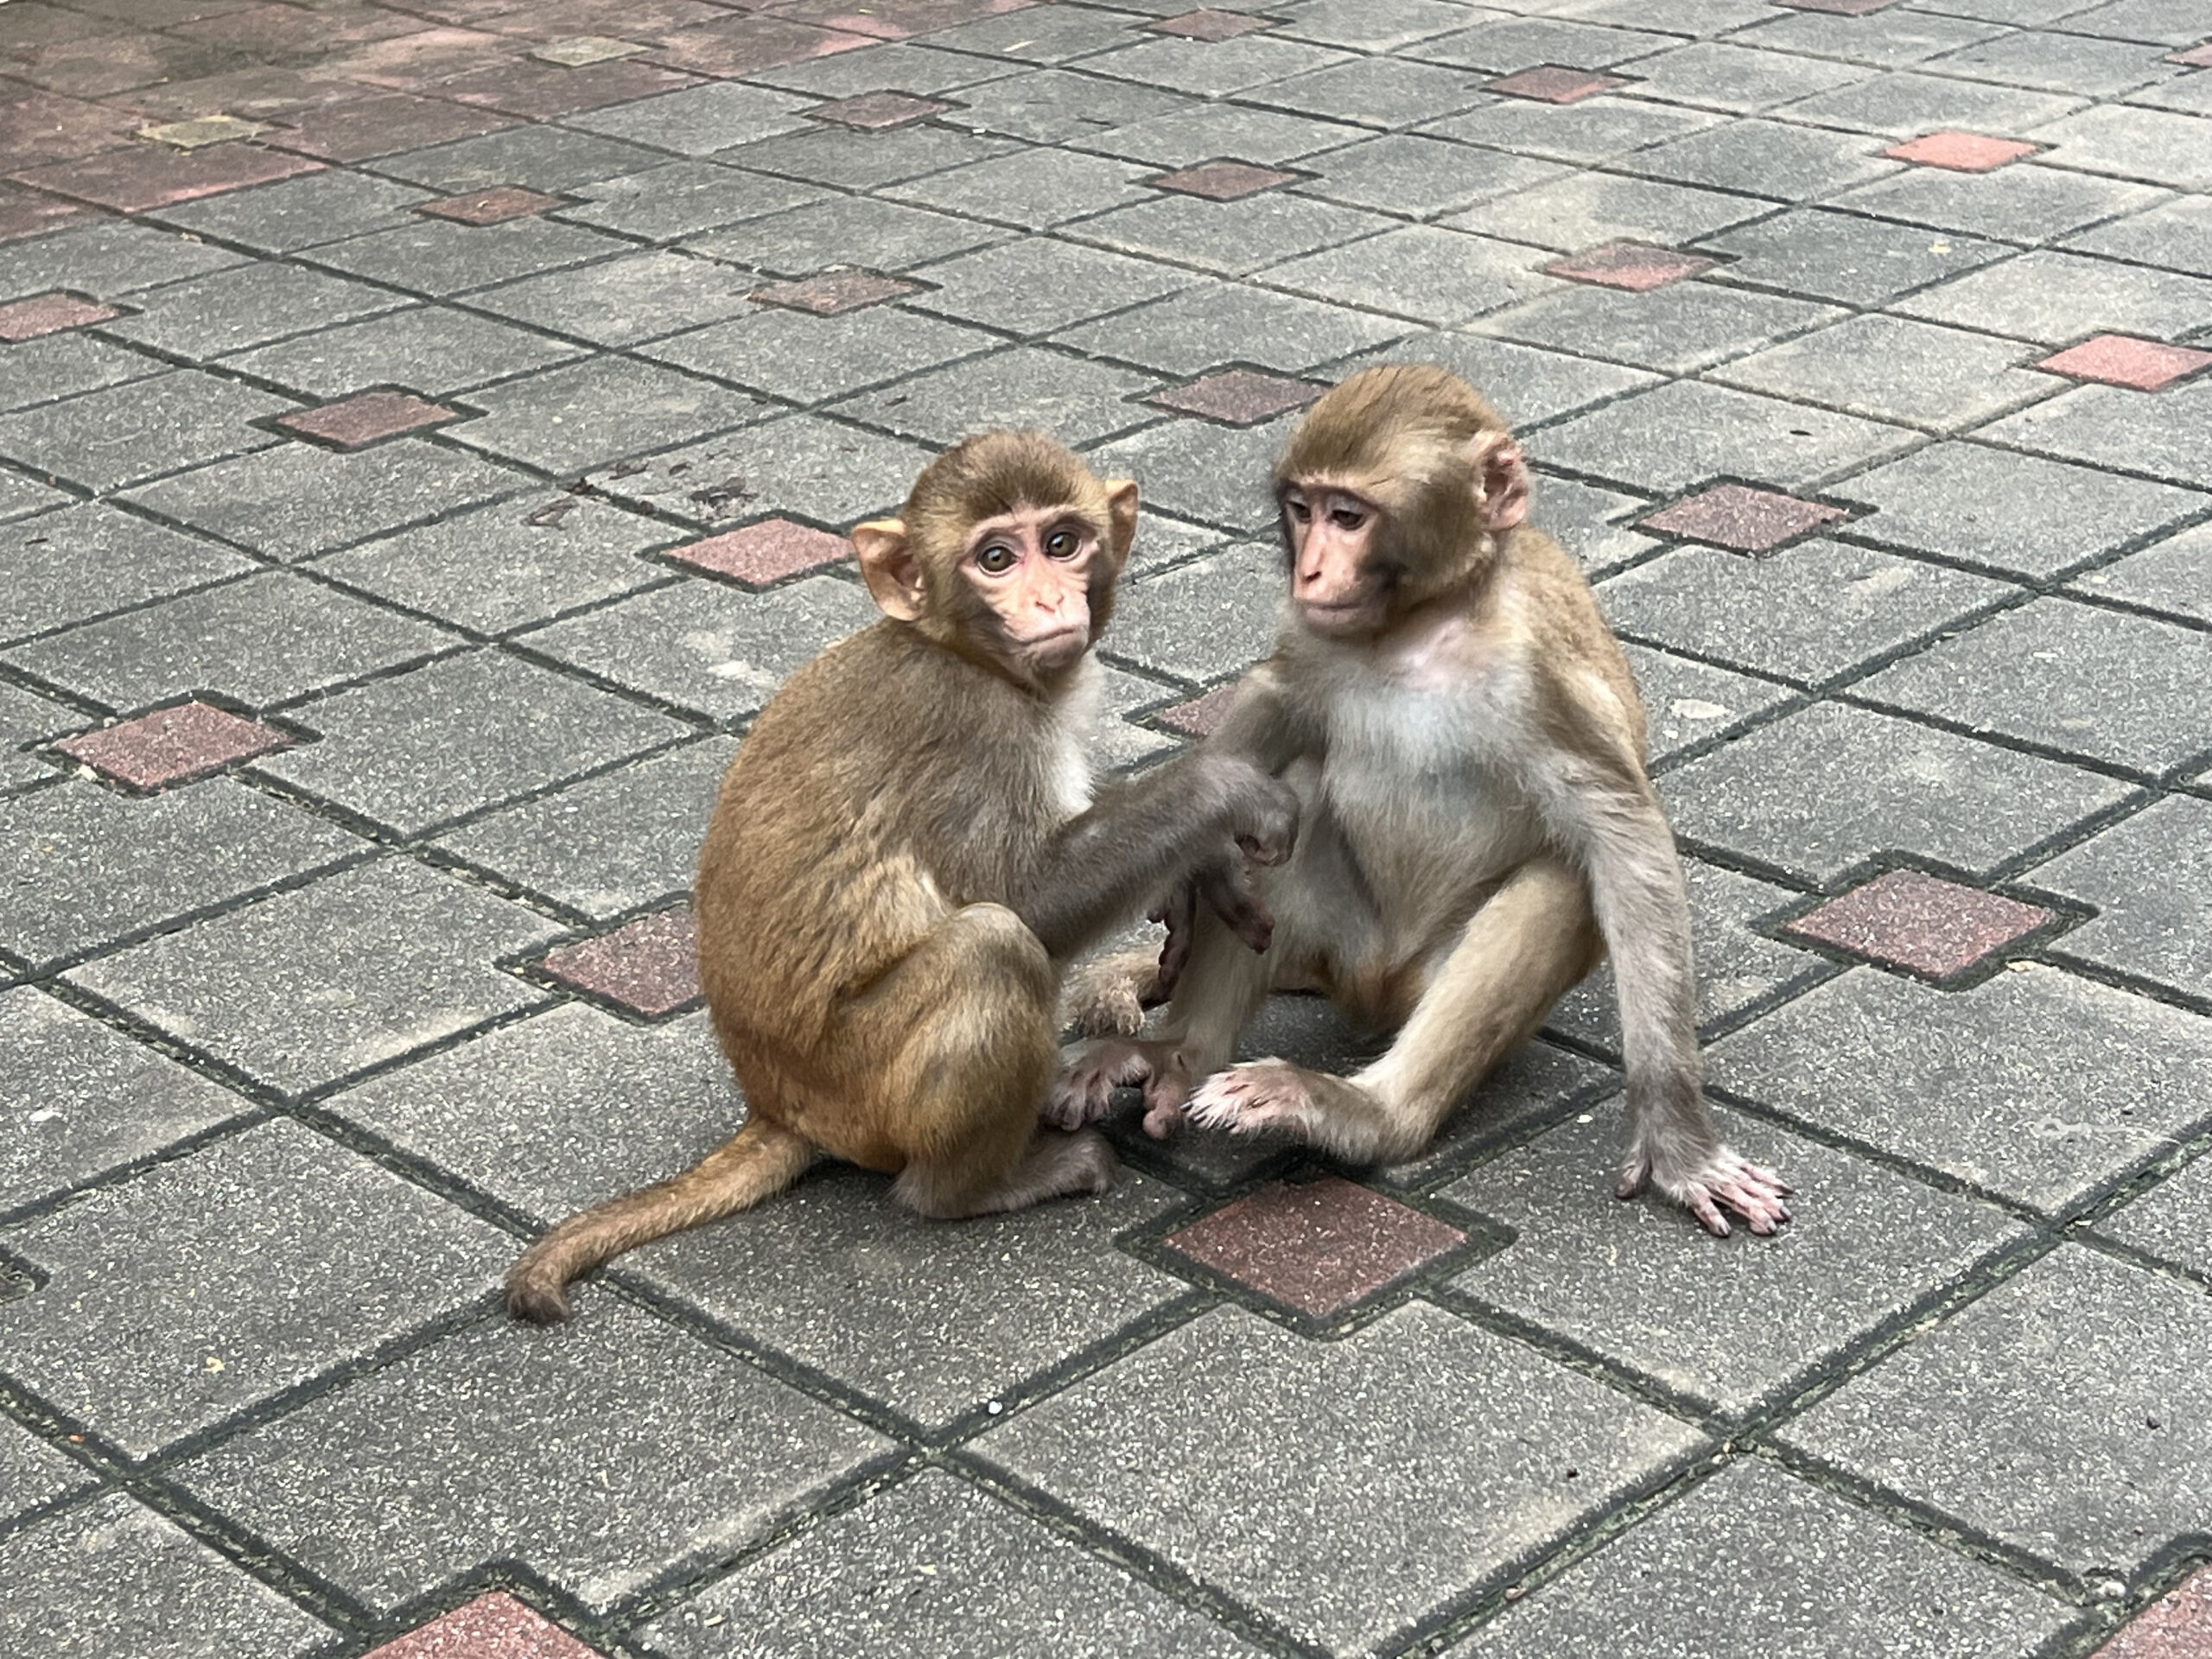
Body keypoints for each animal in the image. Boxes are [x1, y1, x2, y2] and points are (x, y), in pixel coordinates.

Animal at [505, 430, 1299, 1323]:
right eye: (996, 558)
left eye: (1062, 542)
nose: (1046, 601)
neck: (957, 649)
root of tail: (773, 1102)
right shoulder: (973, 729)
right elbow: (1026, 899)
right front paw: (1220, 794)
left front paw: (1200, 871)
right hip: (858, 1090)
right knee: (993, 945)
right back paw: (969, 1190)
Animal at [1050, 366, 1791, 1238]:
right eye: (1302, 510)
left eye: (1349, 516)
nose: (1309, 571)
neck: (1422, 629)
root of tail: (1368, 988)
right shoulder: (1313, 637)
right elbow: (1274, 704)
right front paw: (1187, 881)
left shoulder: (1544, 672)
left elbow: (1623, 835)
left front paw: (1678, 1140)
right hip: (1332, 937)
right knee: (1286, 800)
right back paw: (1181, 1052)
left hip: (1419, 983)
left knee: (1561, 882)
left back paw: (1367, 1114)